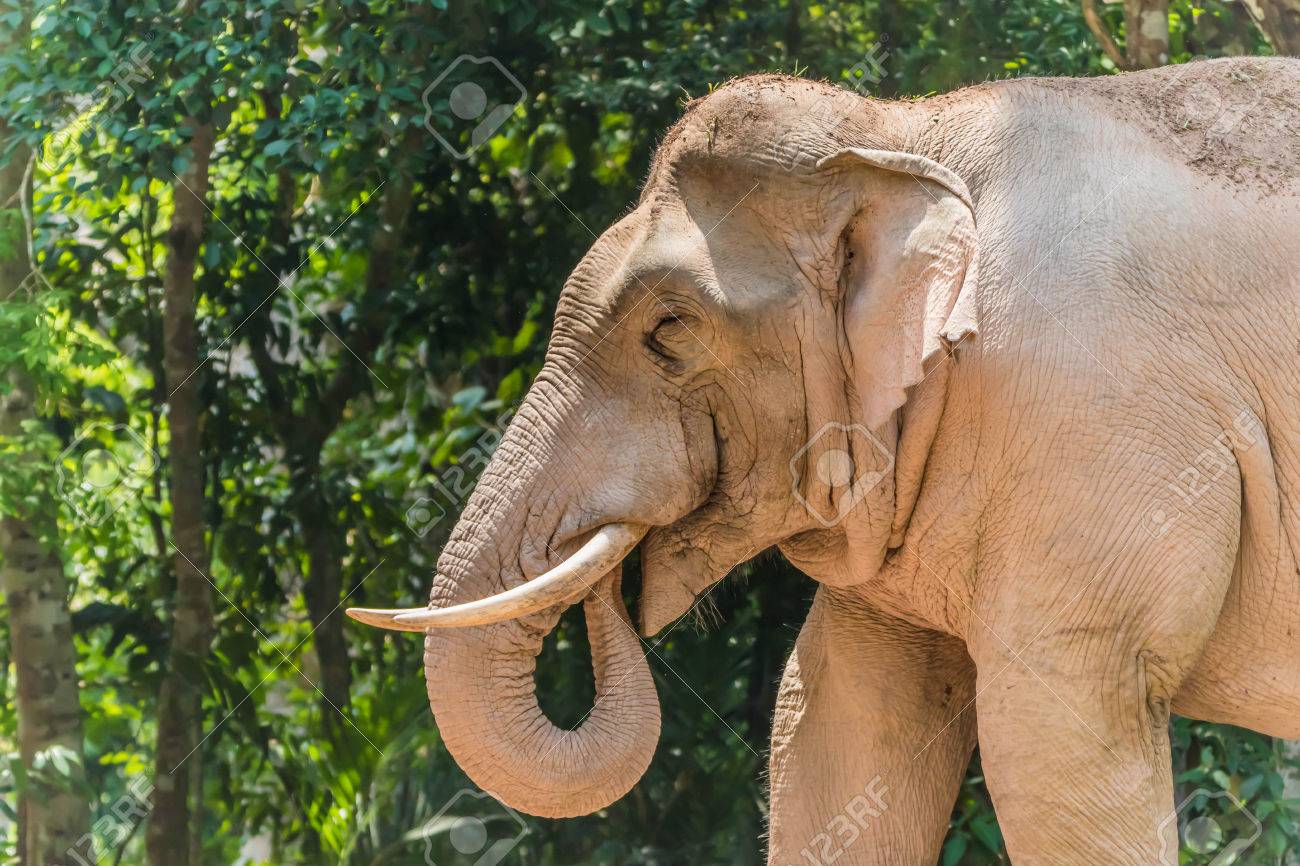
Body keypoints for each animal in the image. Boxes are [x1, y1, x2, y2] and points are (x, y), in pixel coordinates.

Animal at [349, 56, 1300, 864]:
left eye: (669, 330)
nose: (612, 586)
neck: (906, 136)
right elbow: (837, 717)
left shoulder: (1095, 425)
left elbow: (1056, 726)